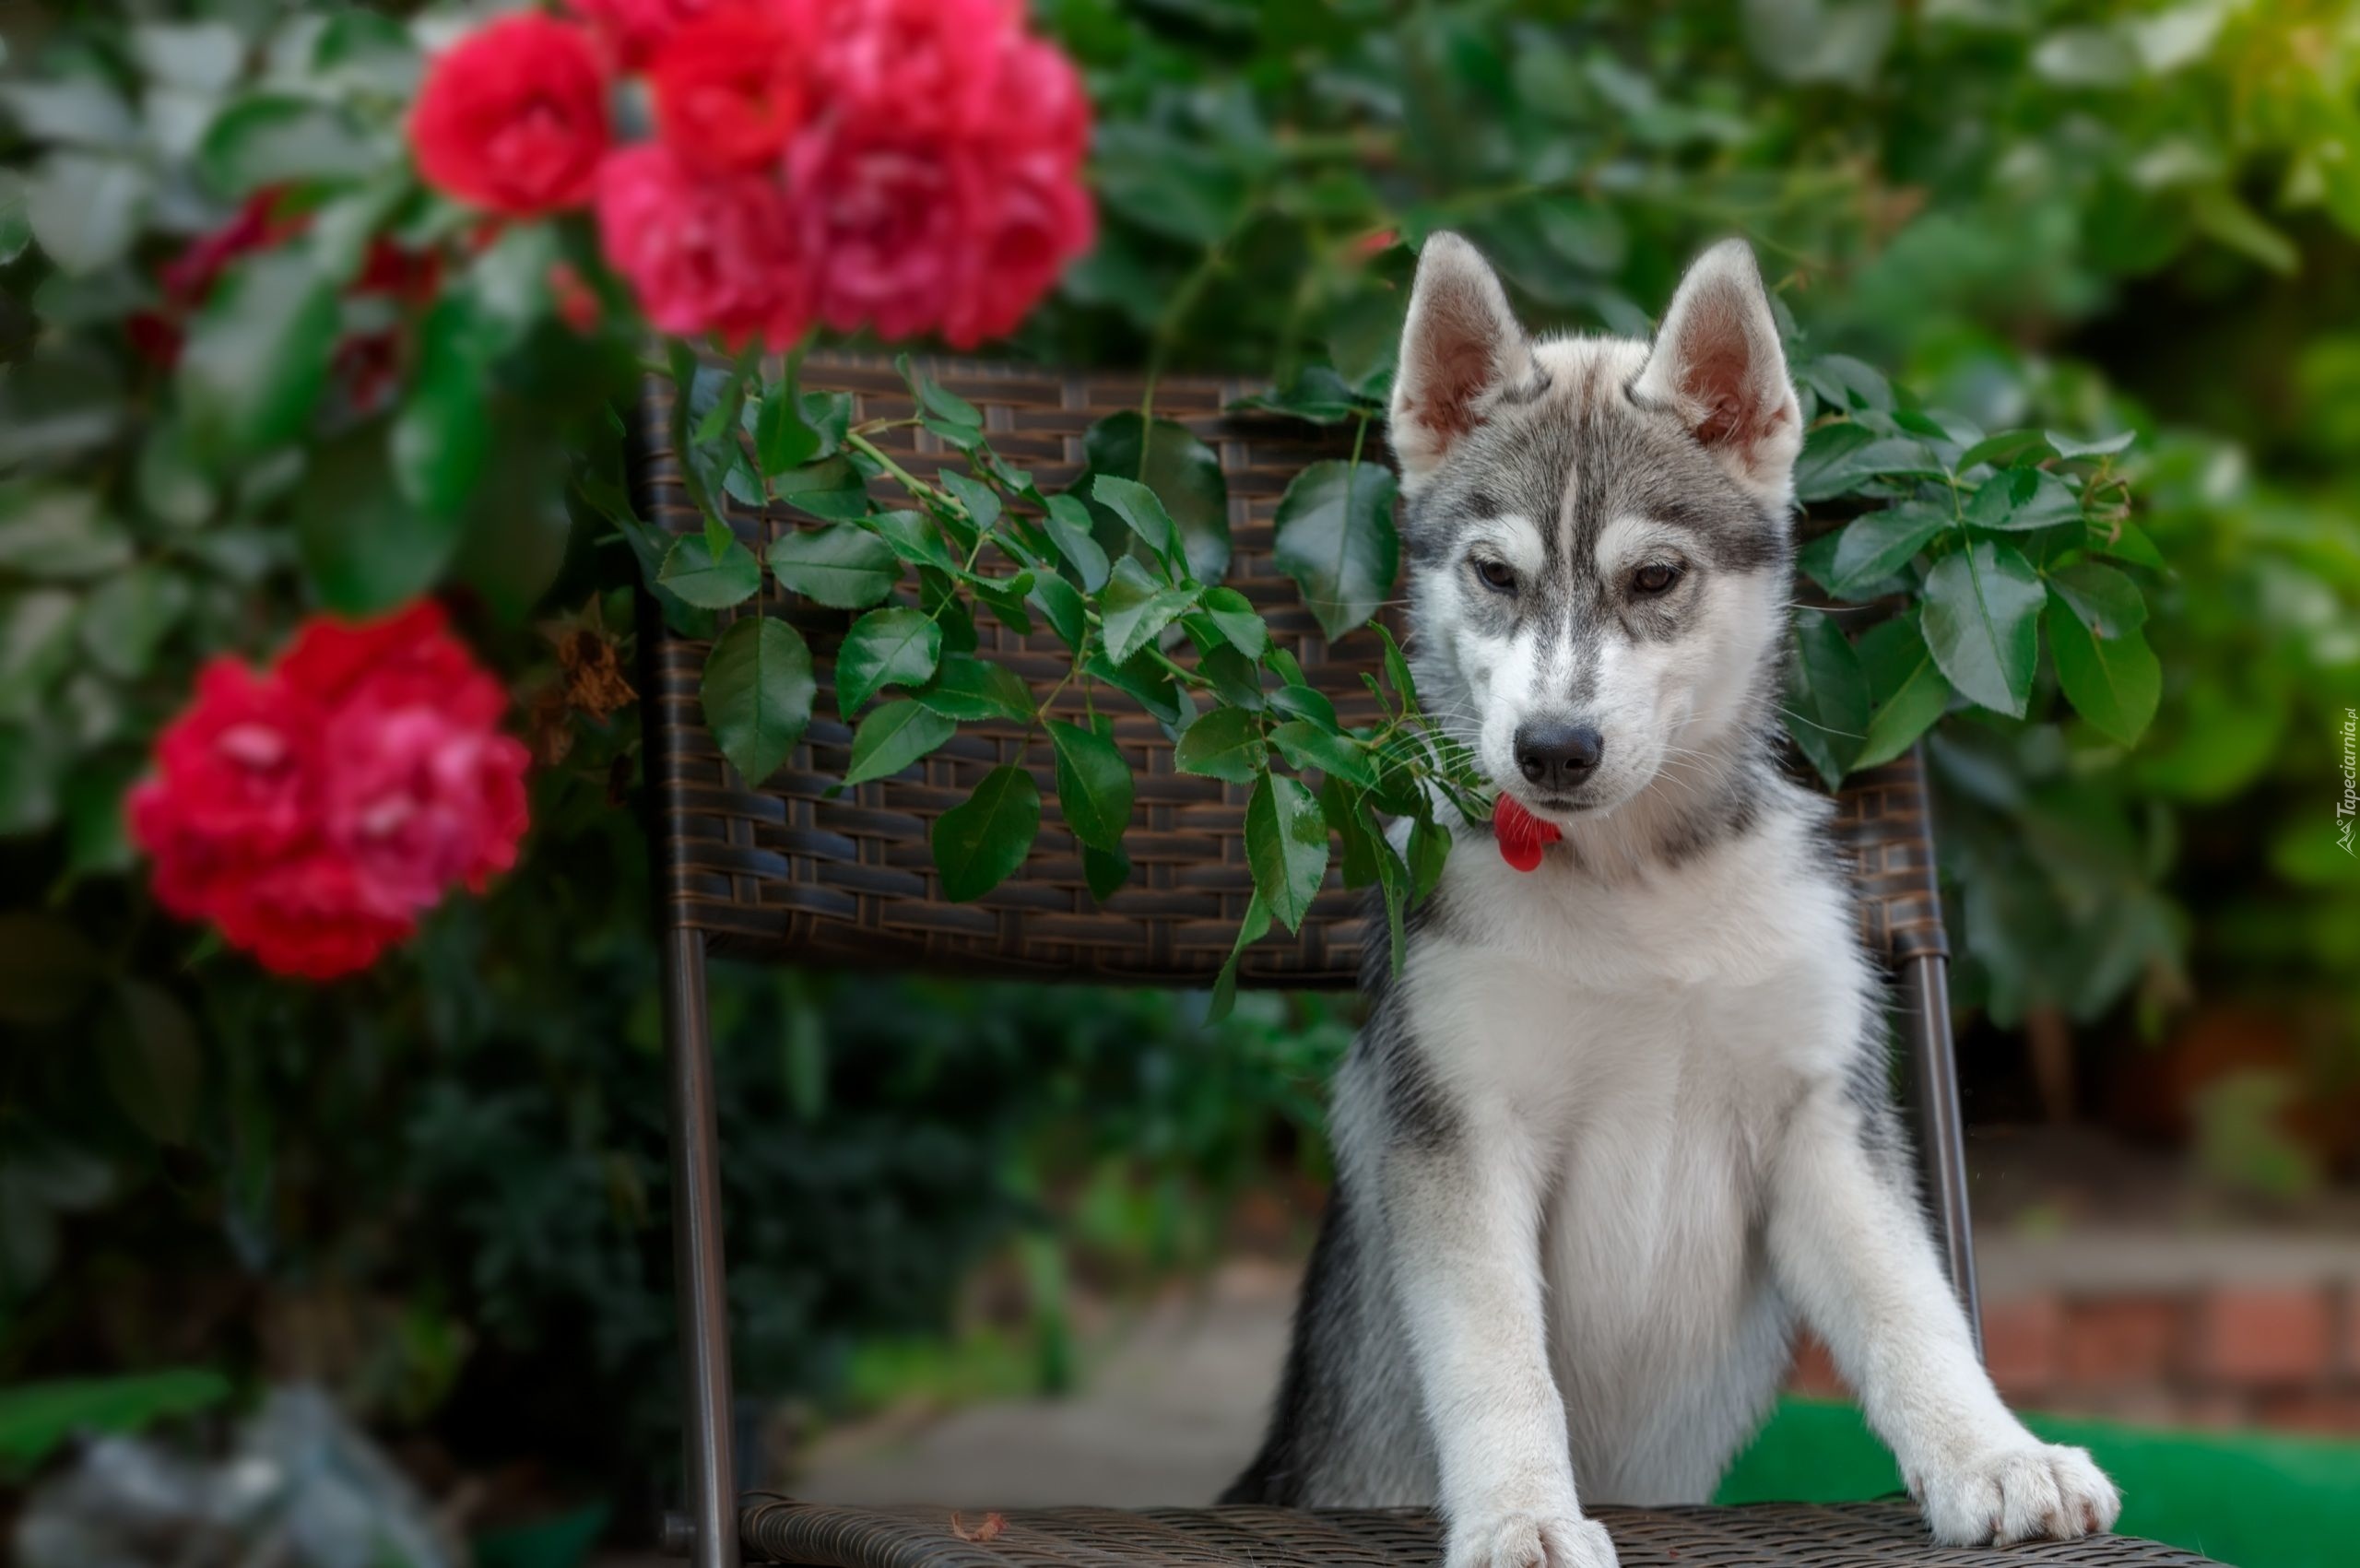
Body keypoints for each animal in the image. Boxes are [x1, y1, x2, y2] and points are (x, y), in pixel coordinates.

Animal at [1227, 236, 2133, 1568]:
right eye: (1494, 574)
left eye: (1653, 577)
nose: (1553, 749)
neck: (1637, 888)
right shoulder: (1459, 1122)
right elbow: (1497, 1355)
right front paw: (1522, 1514)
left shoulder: (1821, 1111)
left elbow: (1911, 1304)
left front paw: (1994, 1458)